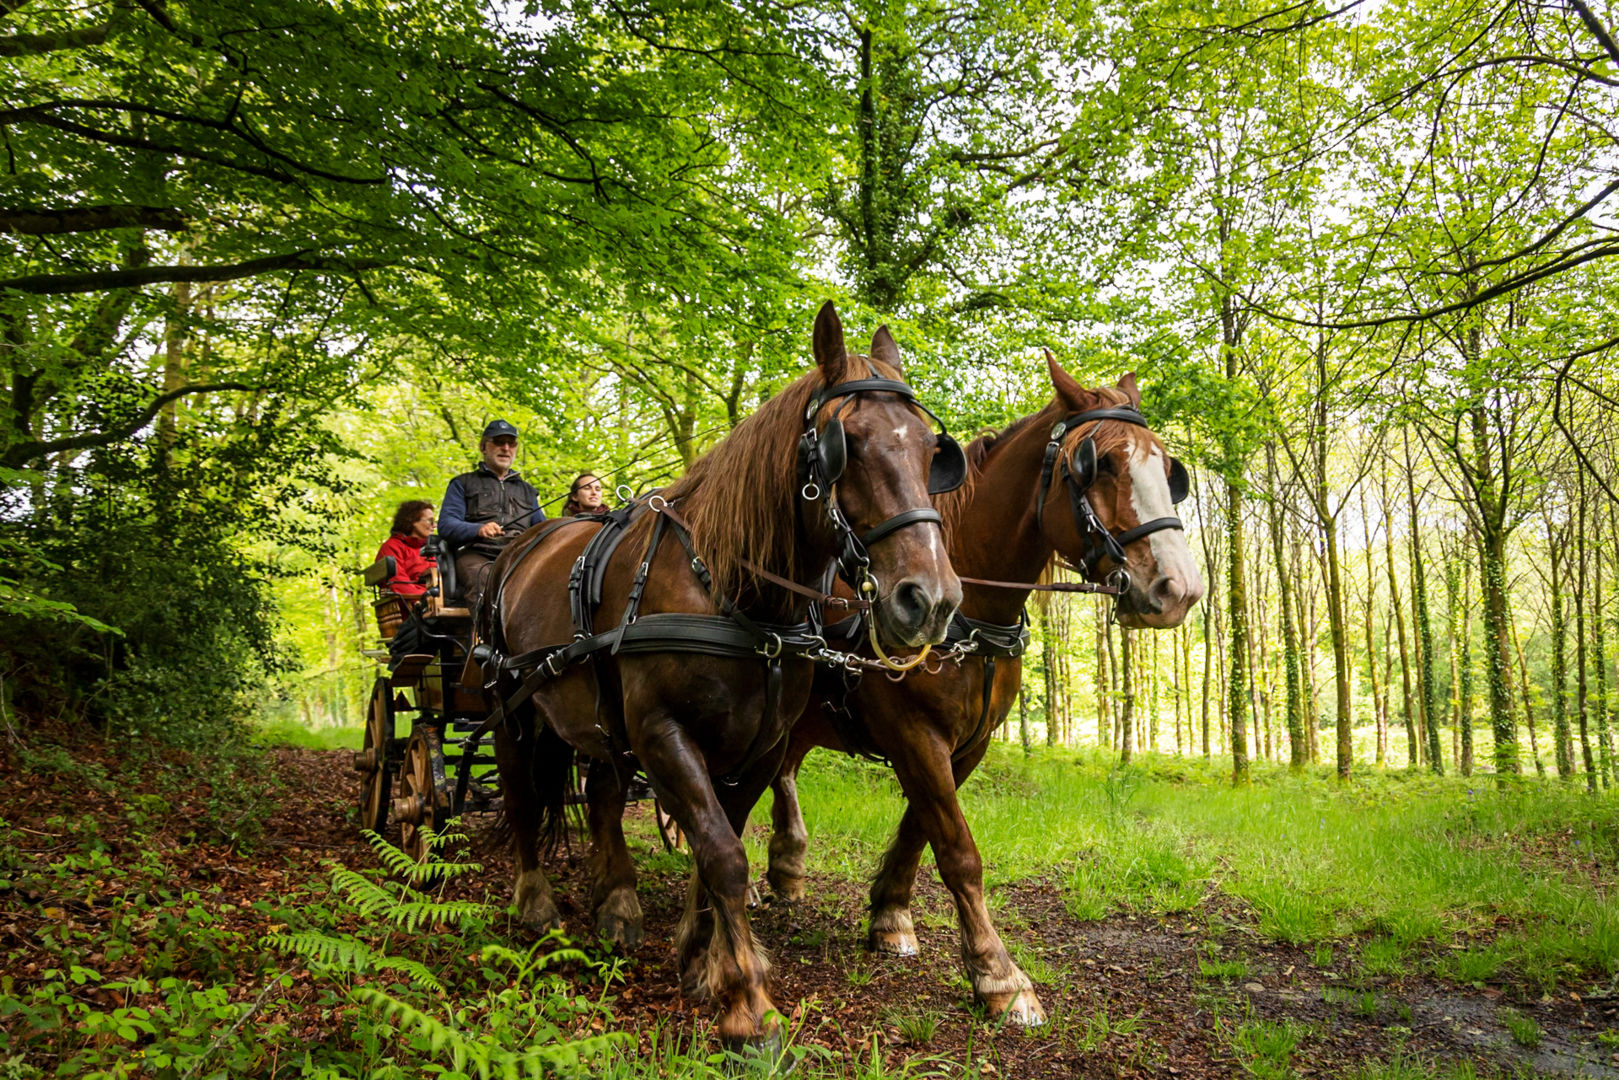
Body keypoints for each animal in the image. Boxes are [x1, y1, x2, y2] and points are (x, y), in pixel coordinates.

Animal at [479, 304, 958, 1049]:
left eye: (932, 451)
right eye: (844, 443)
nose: (929, 600)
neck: (731, 592)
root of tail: (522, 542)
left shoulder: (758, 748)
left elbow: (719, 848)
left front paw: (702, 959)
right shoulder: (664, 734)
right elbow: (726, 858)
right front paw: (746, 1004)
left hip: (600, 722)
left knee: (604, 797)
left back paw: (617, 903)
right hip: (515, 704)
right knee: (524, 794)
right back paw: (535, 901)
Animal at [760, 354, 1204, 1023]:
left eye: (1168, 468)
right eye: (1097, 464)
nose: (1178, 588)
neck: (968, 611)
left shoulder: (971, 743)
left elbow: (921, 828)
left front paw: (890, 914)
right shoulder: (914, 735)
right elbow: (958, 849)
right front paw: (999, 975)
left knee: (783, 769)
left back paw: (786, 864)